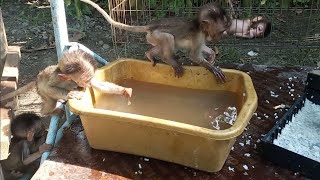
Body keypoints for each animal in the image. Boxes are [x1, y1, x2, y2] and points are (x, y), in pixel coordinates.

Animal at [80, 0, 230, 83]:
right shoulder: (199, 35)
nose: (224, 35)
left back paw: (150, 55)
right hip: (156, 35)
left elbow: (203, 49)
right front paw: (212, 68)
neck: (200, 27)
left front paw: (211, 57)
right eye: (222, 30)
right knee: (168, 38)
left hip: (151, 37)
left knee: (162, 45)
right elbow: (193, 55)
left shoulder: (202, 37)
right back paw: (169, 60)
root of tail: (152, 26)